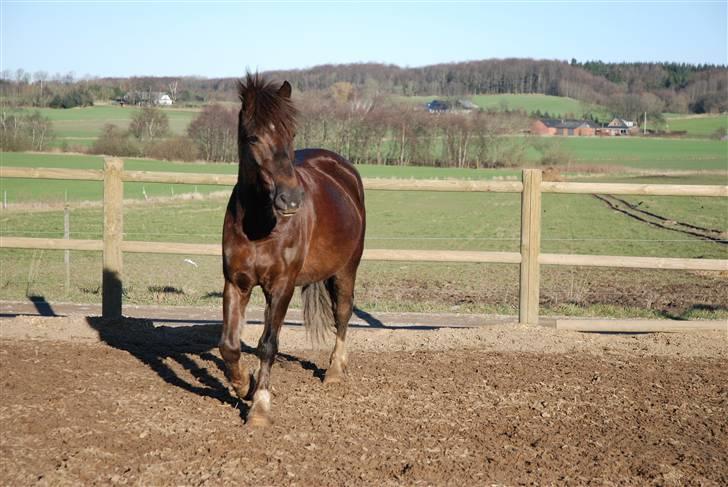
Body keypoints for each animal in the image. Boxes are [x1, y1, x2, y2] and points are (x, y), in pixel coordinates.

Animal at [216, 75, 364, 428]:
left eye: (291, 134)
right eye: (253, 137)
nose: (291, 199)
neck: (259, 225)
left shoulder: (282, 286)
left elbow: (268, 345)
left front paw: (260, 407)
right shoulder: (236, 283)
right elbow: (229, 346)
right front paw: (245, 385)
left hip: (347, 268)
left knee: (343, 313)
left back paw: (334, 370)